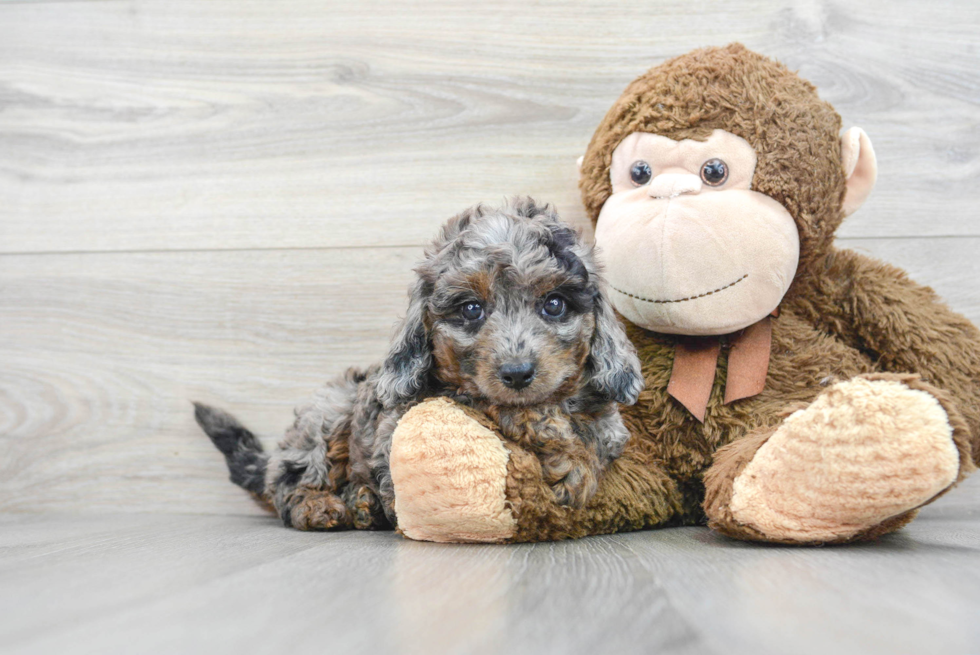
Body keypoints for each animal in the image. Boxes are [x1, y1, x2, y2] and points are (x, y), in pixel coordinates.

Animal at [195, 197, 648, 532]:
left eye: (554, 304)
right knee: (291, 483)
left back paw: (362, 503)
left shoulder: (607, 423)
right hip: (327, 417)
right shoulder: (419, 407)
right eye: (471, 309)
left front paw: (574, 457)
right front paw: (560, 452)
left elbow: (596, 434)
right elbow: (493, 403)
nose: (517, 374)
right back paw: (321, 507)